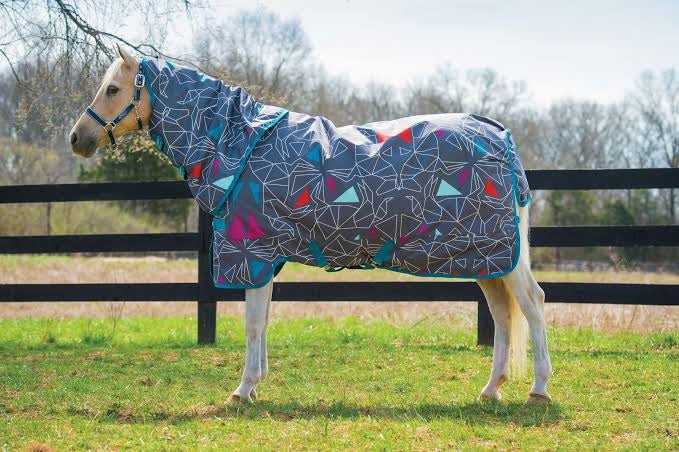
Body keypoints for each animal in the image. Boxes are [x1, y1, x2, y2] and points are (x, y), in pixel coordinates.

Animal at [70, 45, 552, 404]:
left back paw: (539, 389)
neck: (240, 147)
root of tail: (498, 134)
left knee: (531, 303)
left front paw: (242, 390)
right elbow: (263, 321)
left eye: (112, 88)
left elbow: (251, 324)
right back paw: (491, 389)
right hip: (482, 256)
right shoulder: (268, 258)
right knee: (502, 313)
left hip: (499, 255)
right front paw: (255, 385)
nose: (77, 139)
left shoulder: (253, 253)